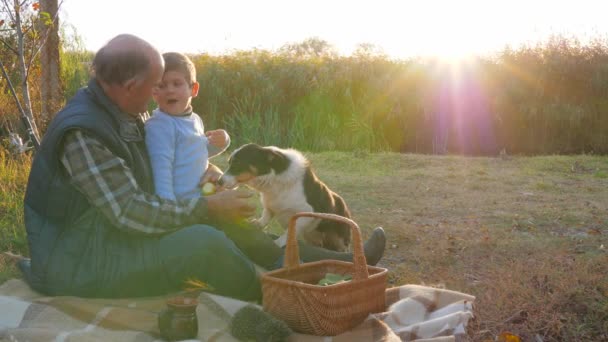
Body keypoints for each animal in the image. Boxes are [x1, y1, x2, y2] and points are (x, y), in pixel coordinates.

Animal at [217, 143, 352, 252]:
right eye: (229, 162)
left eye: (238, 163)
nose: (219, 181)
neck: (273, 180)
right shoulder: (270, 206)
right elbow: (265, 217)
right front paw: (257, 224)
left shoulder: (307, 213)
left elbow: (290, 232)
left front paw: (277, 243)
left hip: (339, 237)